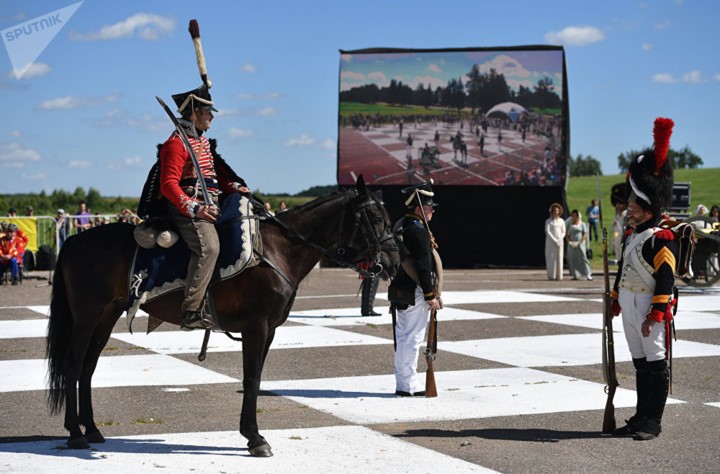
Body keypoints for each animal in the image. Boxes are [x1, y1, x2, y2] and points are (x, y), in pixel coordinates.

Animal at [46, 176, 400, 458]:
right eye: (375, 216)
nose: (394, 262)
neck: (277, 251)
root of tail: (75, 240)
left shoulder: (269, 330)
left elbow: (255, 378)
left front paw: (251, 434)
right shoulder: (257, 327)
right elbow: (251, 379)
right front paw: (255, 438)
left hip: (105, 317)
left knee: (88, 368)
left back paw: (92, 429)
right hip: (86, 317)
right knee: (74, 365)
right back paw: (75, 434)